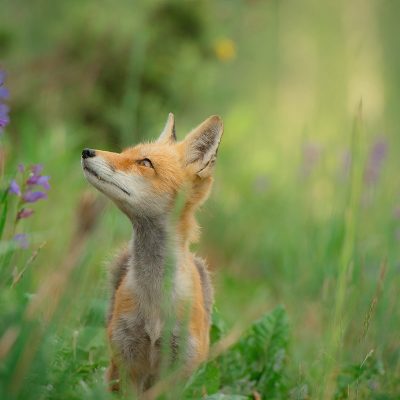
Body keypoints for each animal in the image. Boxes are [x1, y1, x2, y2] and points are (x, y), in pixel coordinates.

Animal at [79, 112, 223, 394]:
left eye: (145, 163)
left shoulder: (178, 371)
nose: (86, 151)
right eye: (124, 152)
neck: (156, 300)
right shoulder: (127, 363)